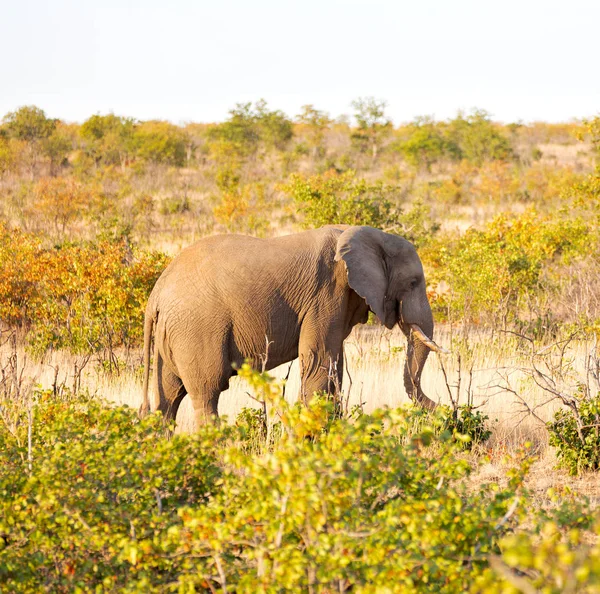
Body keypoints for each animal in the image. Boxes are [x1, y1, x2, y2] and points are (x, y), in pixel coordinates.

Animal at [139, 224, 446, 424]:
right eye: (413, 283)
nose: (443, 408)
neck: (368, 235)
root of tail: (156, 295)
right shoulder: (326, 294)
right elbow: (319, 360)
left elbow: (334, 365)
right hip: (197, 329)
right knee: (207, 393)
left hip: (173, 334)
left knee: (168, 398)